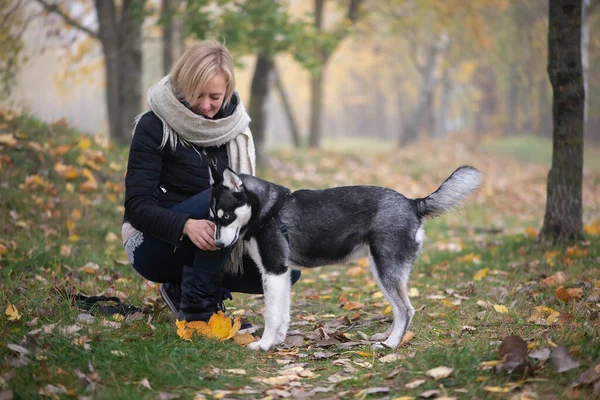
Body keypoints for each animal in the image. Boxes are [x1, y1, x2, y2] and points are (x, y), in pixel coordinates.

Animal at [209, 166, 480, 350]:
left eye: (226, 216)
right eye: (214, 217)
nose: (217, 245)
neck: (267, 211)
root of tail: (412, 203)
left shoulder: (274, 270)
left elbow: (271, 315)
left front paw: (264, 344)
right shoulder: (280, 274)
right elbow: (282, 314)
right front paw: (277, 341)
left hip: (385, 270)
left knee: (406, 309)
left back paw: (391, 344)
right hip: (382, 270)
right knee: (398, 309)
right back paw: (387, 336)